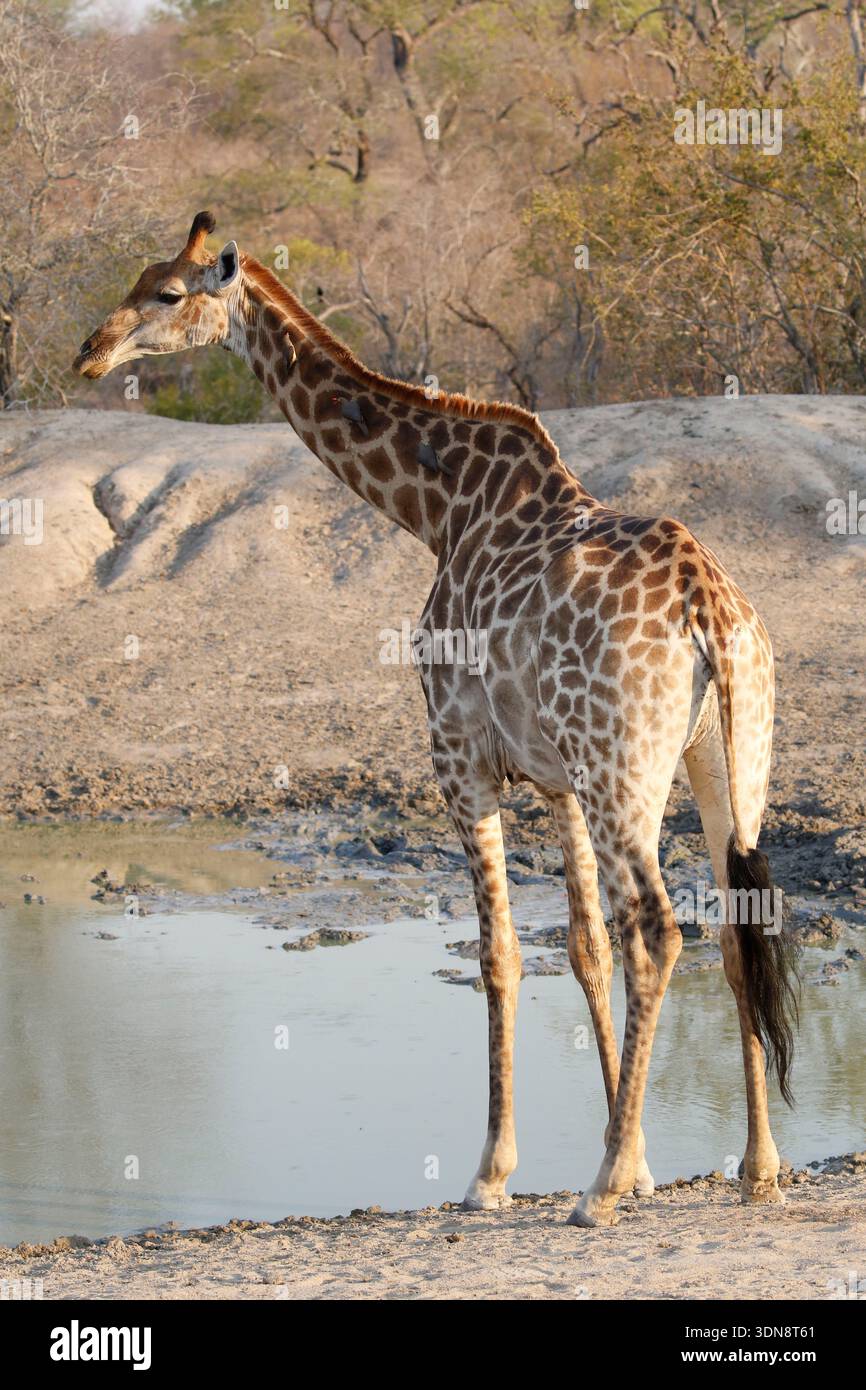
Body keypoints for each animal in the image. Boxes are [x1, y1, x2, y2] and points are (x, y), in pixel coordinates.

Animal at [74, 212, 800, 1227]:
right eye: (139, 277)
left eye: (168, 293)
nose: (90, 354)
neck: (439, 507)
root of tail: (708, 607)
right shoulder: (555, 775)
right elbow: (583, 947)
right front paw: (645, 1160)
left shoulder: (457, 751)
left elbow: (500, 953)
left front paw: (495, 1172)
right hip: (724, 757)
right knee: (736, 924)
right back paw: (756, 1164)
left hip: (627, 769)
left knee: (661, 929)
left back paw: (600, 1192)